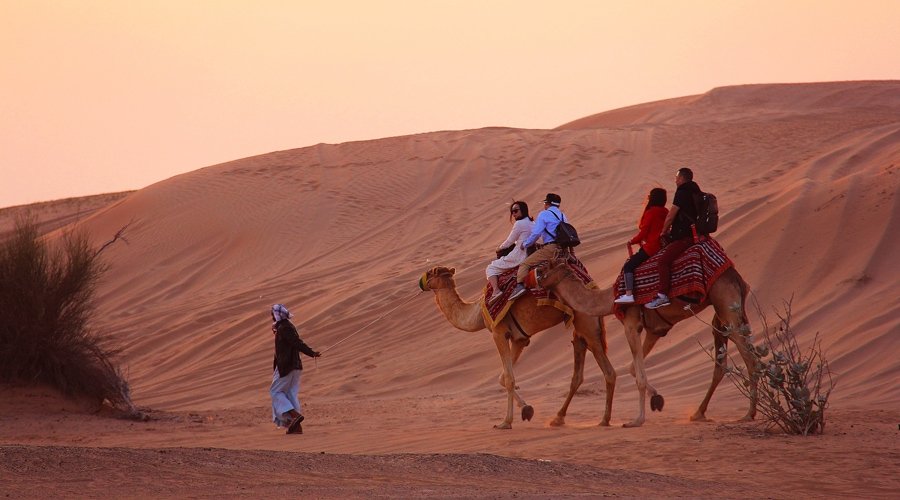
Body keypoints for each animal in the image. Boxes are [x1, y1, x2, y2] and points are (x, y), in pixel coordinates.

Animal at [422, 266, 620, 430]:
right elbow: (503, 378)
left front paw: (505, 422)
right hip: (580, 331)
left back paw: (604, 420)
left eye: (431, 272)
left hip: (586, 324)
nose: (421, 283)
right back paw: (558, 418)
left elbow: (508, 378)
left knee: (608, 372)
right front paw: (526, 410)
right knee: (578, 374)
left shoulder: (499, 332)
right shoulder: (520, 338)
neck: (477, 312)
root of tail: (594, 288)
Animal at [536, 260, 760, 428]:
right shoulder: (655, 329)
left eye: (544, 269)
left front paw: (637, 420)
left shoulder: (630, 323)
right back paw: (698, 413)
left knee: (750, 359)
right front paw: (657, 399)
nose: (533, 278)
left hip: (725, 303)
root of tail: (737, 277)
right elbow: (632, 368)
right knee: (721, 363)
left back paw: (749, 413)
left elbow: (639, 376)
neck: (610, 298)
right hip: (721, 316)